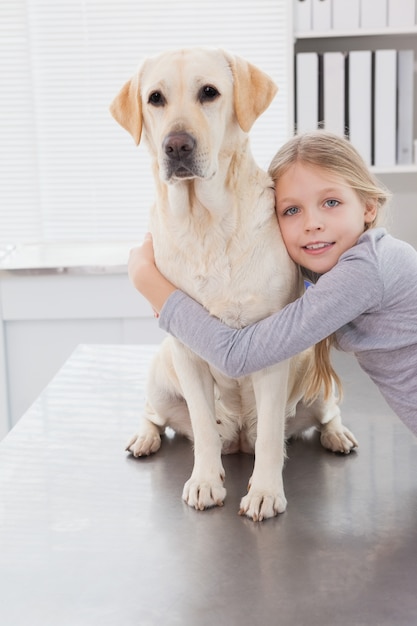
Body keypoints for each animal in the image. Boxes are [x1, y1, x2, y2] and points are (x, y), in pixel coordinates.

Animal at [109, 46, 356, 520]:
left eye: (209, 92)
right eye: (155, 98)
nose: (177, 145)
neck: (205, 224)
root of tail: (239, 438)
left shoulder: (272, 353)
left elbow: (271, 441)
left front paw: (265, 492)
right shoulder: (187, 352)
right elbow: (203, 428)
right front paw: (205, 481)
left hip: (317, 385)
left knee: (324, 415)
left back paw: (337, 435)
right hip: (161, 377)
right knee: (155, 414)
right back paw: (144, 438)